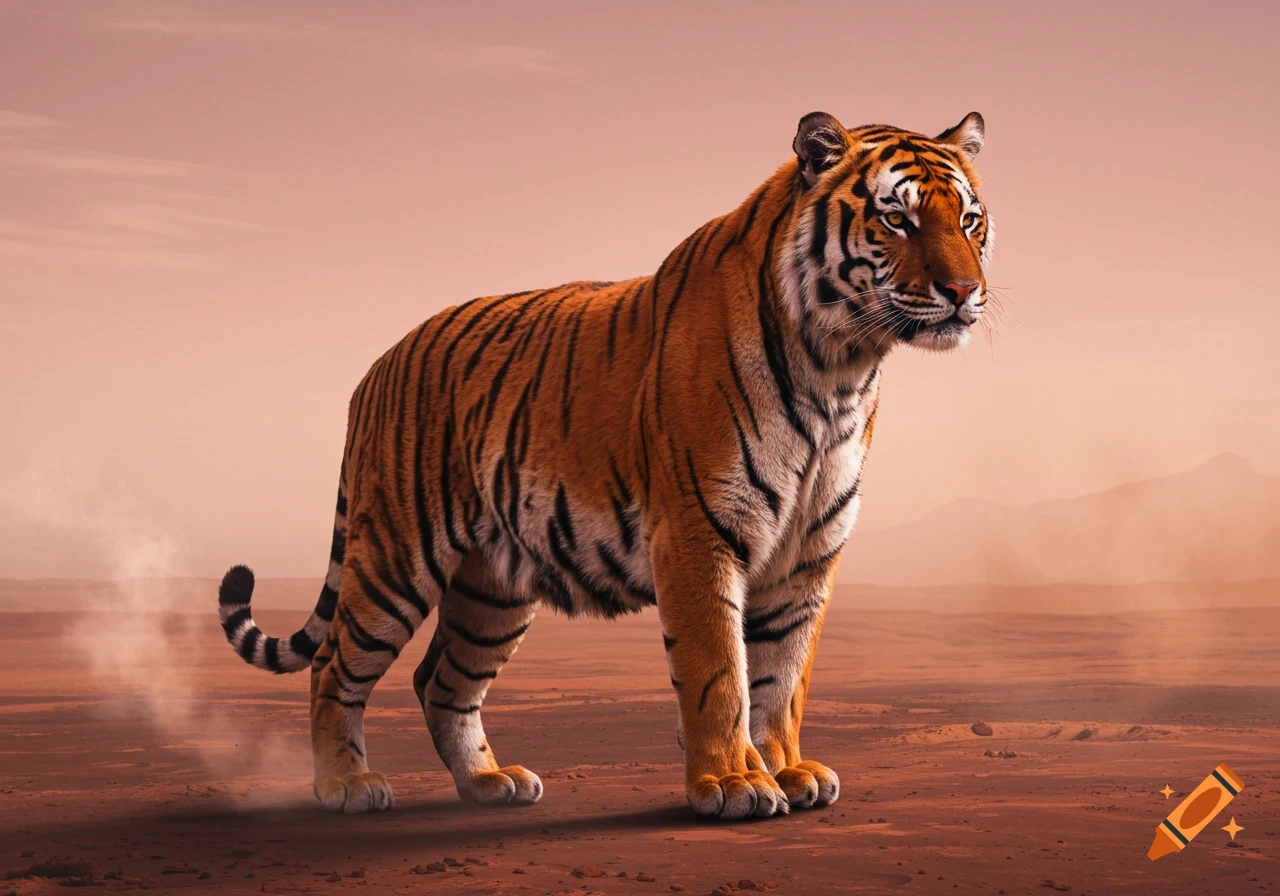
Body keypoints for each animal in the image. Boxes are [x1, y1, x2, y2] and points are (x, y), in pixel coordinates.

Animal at [217, 110, 993, 819]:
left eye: (970, 220)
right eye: (897, 219)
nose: (963, 293)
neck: (840, 369)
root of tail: (378, 365)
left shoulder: (808, 553)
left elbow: (781, 677)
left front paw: (788, 770)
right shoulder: (698, 533)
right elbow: (721, 672)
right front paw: (732, 784)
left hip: (493, 589)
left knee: (443, 682)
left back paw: (488, 783)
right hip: (395, 557)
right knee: (333, 665)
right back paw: (346, 786)